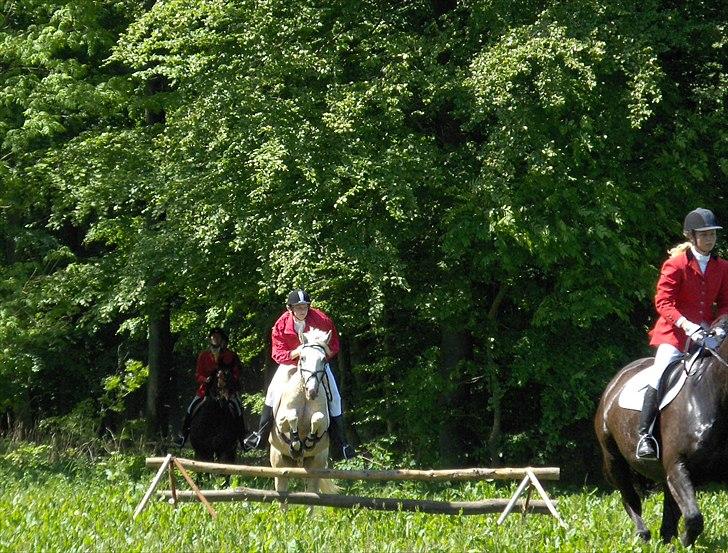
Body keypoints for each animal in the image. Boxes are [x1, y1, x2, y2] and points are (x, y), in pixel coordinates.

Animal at [268, 328, 340, 496]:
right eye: (302, 357)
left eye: (324, 360)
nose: (312, 391)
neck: (304, 396)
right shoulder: (281, 422)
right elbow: (291, 416)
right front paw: (295, 441)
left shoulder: (324, 420)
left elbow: (318, 418)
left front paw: (309, 440)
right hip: (279, 462)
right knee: (282, 489)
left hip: (315, 464)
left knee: (312, 493)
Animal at [596, 322, 728, 544]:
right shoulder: (677, 465)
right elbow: (694, 518)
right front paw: (685, 543)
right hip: (614, 459)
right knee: (630, 498)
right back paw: (643, 534)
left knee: (668, 512)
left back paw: (666, 540)